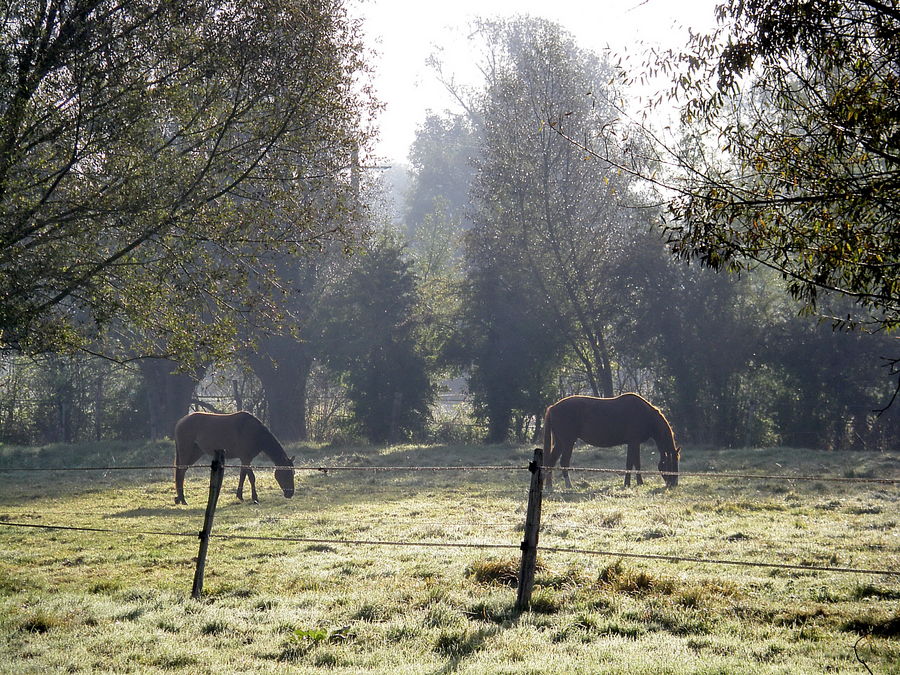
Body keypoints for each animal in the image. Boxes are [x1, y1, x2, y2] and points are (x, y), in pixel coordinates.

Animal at [540, 394, 684, 488]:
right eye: (671, 463)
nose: (674, 484)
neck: (646, 416)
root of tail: (553, 407)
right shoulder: (634, 442)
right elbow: (634, 463)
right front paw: (635, 483)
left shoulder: (632, 443)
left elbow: (632, 463)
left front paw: (632, 483)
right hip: (568, 442)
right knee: (564, 463)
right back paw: (569, 486)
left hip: (560, 443)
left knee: (551, 462)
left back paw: (549, 487)